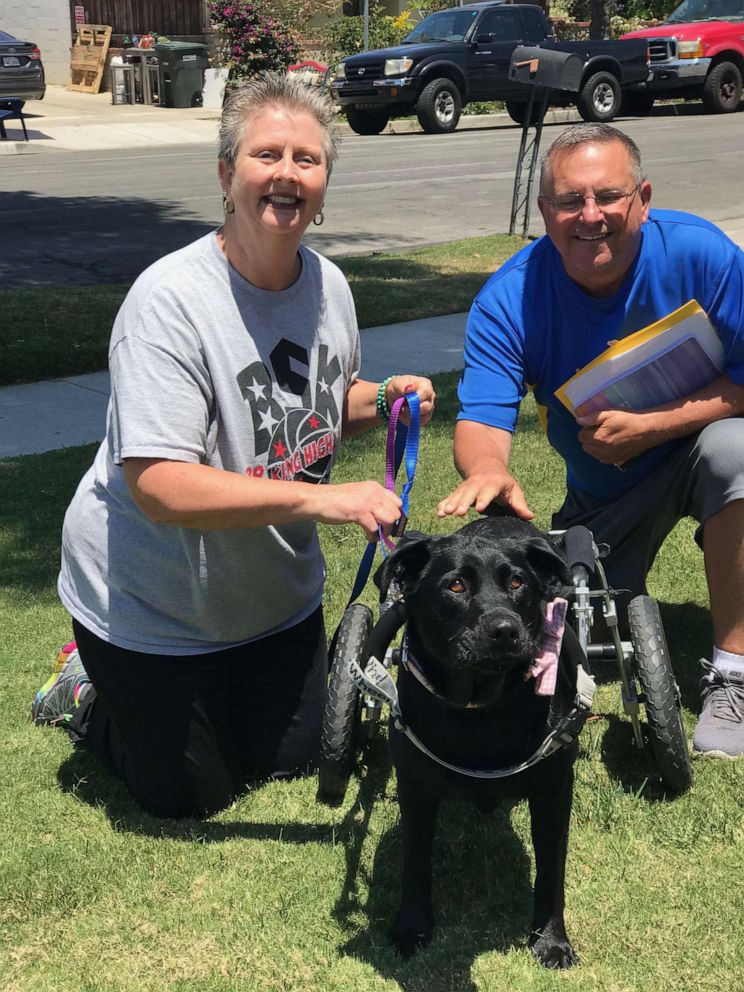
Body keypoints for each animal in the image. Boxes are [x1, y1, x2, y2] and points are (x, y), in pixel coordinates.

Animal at [374, 516, 584, 972]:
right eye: (455, 585)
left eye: (518, 582)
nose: (505, 630)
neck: (480, 707)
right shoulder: (415, 788)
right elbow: (415, 861)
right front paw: (411, 928)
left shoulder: (554, 790)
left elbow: (551, 871)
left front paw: (551, 941)